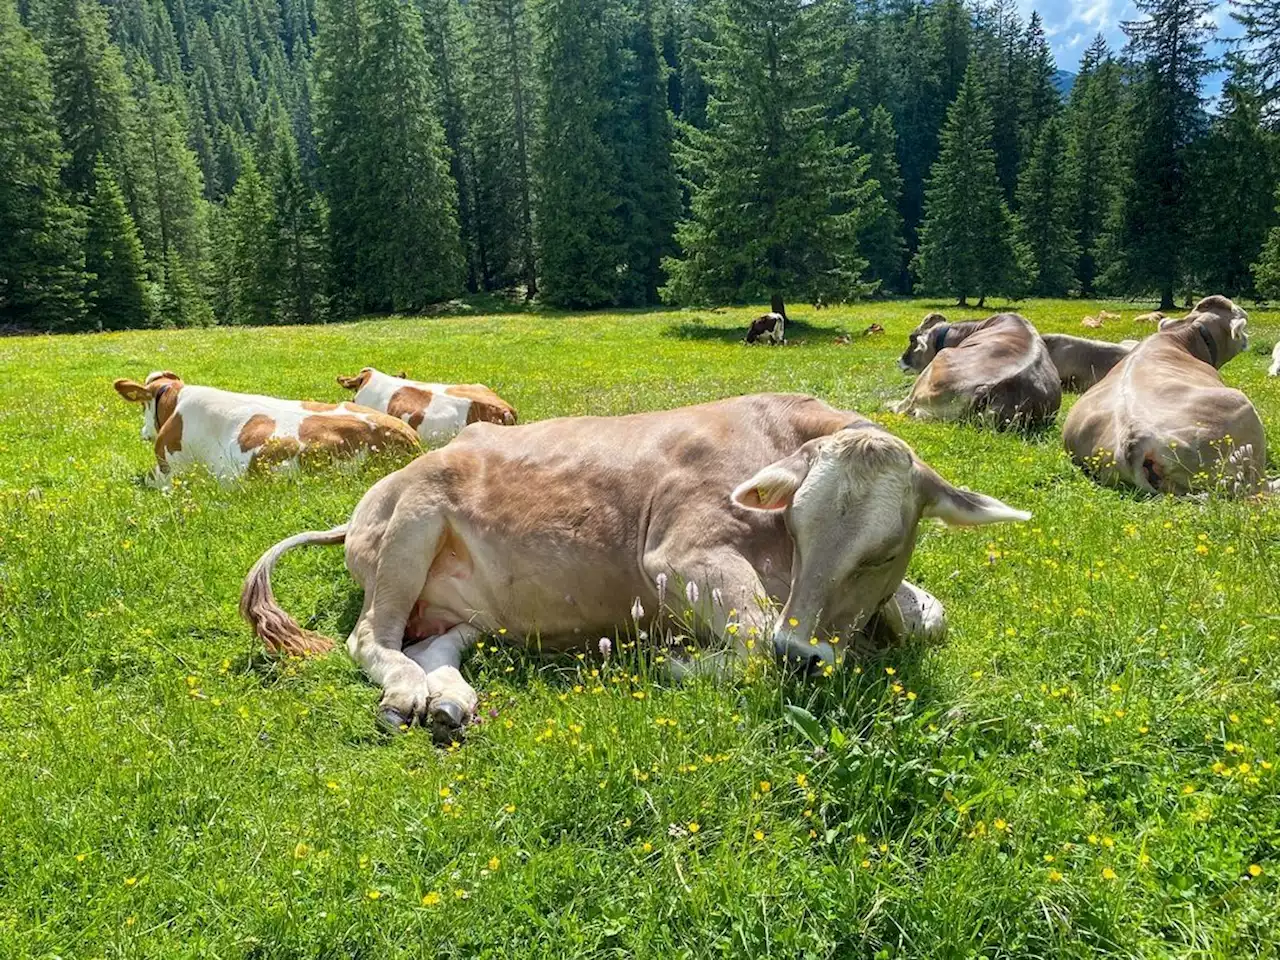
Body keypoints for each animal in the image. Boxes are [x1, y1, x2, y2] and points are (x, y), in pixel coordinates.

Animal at [241, 394, 1029, 742]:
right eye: (798, 524)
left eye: (886, 550)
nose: (801, 653)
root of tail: (367, 502)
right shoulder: (678, 553)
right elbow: (749, 641)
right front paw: (671, 660)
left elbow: (929, 619)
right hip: (412, 525)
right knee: (372, 638)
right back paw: (407, 695)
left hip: (473, 609)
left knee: (432, 643)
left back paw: (450, 701)